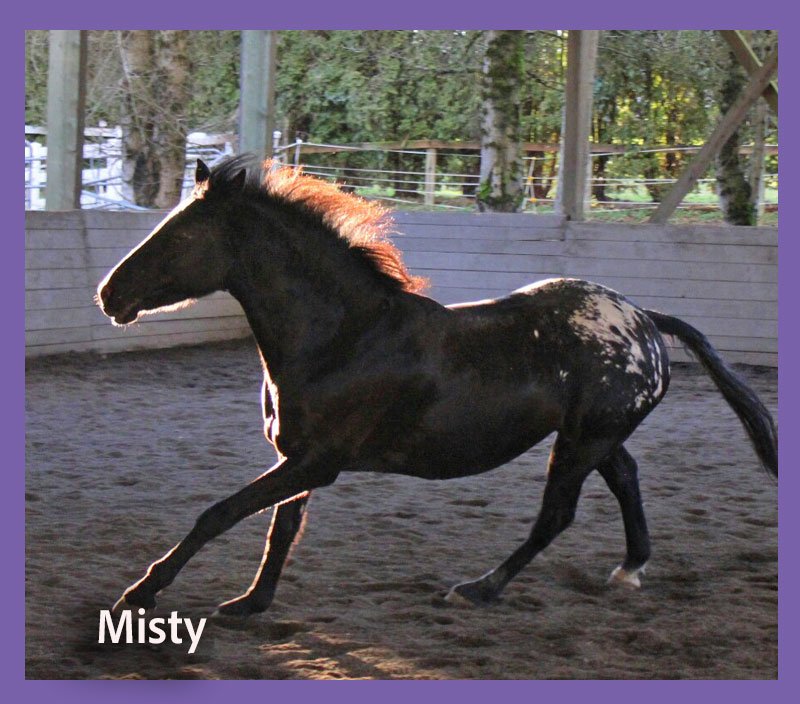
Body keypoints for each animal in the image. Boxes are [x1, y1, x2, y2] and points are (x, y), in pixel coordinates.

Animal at [97, 155, 777, 616]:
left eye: (182, 234)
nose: (109, 294)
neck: (344, 336)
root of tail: (644, 320)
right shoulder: (298, 458)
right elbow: (281, 526)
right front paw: (250, 604)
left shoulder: (318, 461)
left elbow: (221, 513)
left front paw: (138, 594)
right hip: (595, 438)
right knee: (627, 479)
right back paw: (629, 569)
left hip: (582, 442)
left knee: (556, 514)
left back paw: (480, 587)